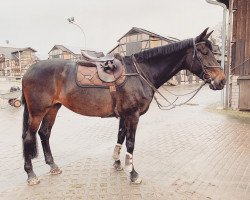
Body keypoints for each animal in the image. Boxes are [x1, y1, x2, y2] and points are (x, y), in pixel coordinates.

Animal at [21, 27, 226, 184]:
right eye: (204, 52)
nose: (222, 80)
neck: (140, 73)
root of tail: (29, 71)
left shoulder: (124, 115)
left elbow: (120, 137)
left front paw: (117, 163)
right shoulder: (132, 115)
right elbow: (131, 143)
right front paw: (133, 173)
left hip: (52, 109)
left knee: (44, 134)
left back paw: (53, 166)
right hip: (37, 112)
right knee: (28, 137)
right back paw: (31, 174)